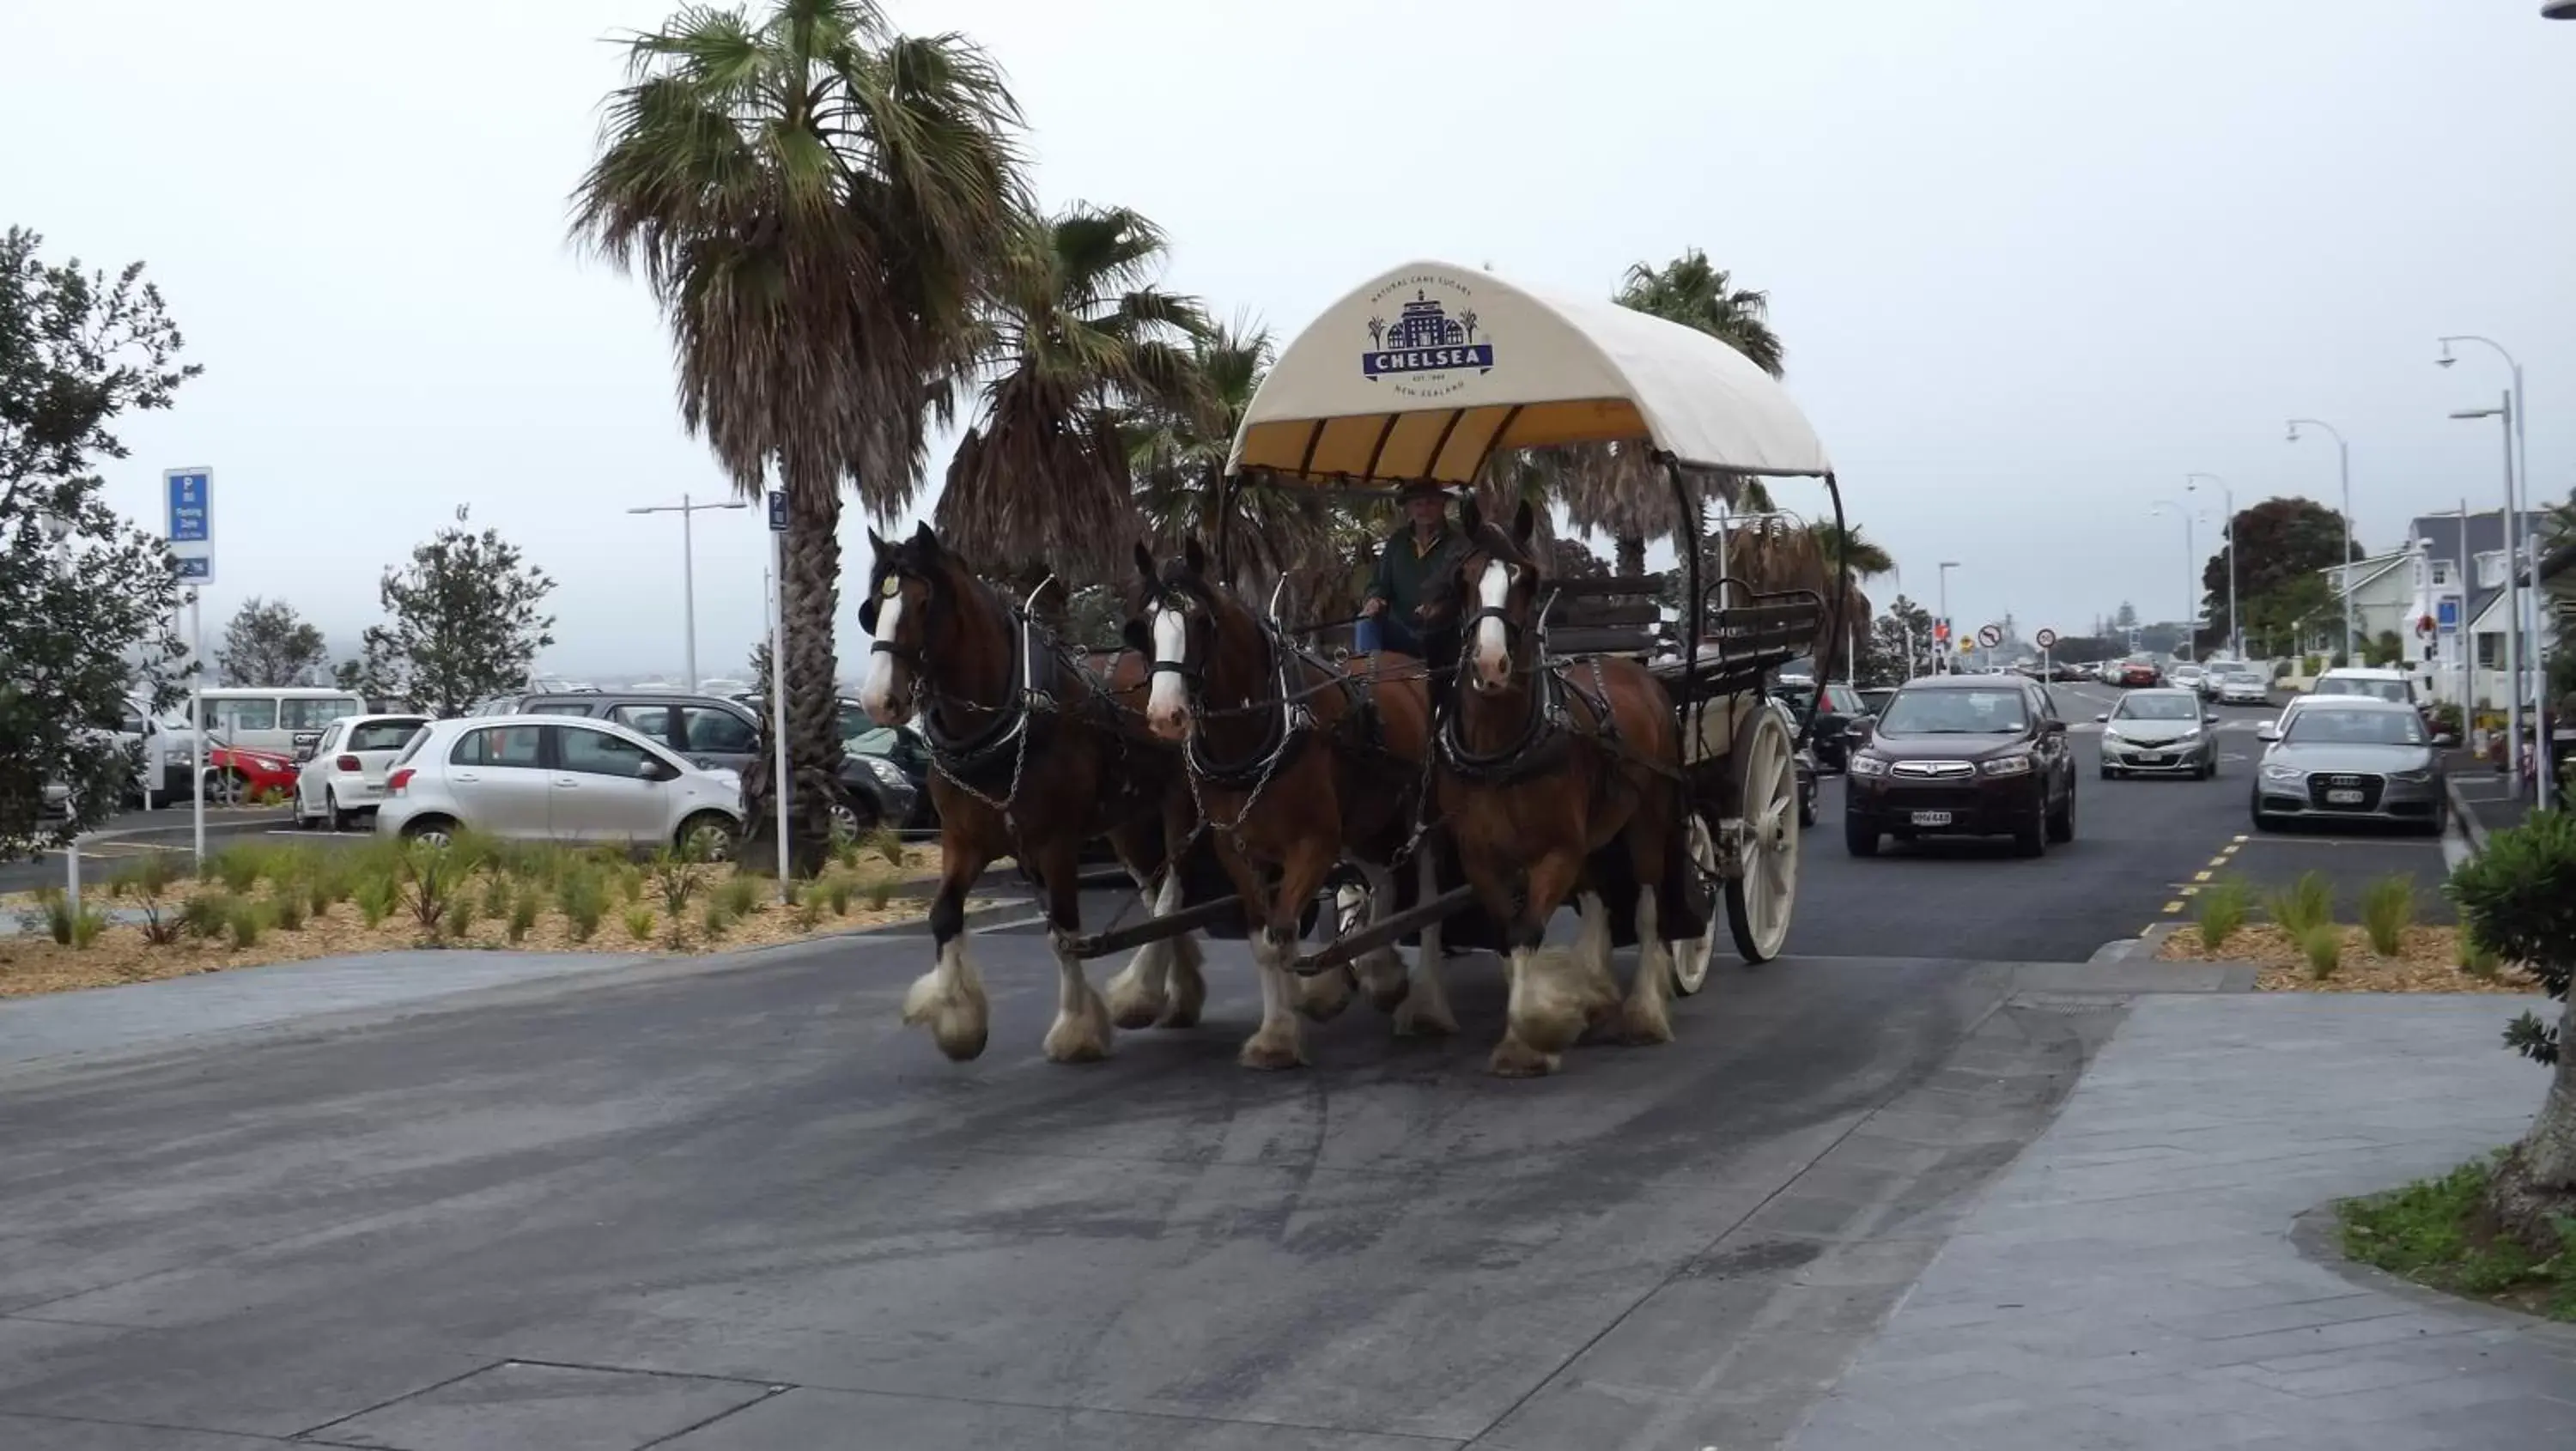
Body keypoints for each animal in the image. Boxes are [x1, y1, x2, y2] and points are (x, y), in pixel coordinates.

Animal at [855, 528, 1216, 1061]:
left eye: (923, 603)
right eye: (873, 608)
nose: (879, 700)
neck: (1005, 721)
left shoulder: (1055, 843)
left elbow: (1064, 930)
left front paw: (1076, 1030)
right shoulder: (964, 841)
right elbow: (944, 915)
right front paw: (959, 1022)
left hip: (1181, 806)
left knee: (1170, 895)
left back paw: (1145, 992)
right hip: (1128, 824)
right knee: (1156, 897)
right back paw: (1177, 993)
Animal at [1128, 536, 1453, 1066]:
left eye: (1201, 623)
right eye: (1143, 628)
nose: (1165, 715)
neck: (1264, 730)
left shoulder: (1314, 845)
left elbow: (1283, 928)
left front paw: (1294, 1017)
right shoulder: (1239, 850)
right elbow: (1264, 940)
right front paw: (1279, 1027)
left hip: (1418, 816)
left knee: (1426, 904)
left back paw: (1424, 1003)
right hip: (1363, 821)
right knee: (1383, 879)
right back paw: (1379, 970)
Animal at [1432, 500, 1710, 1077]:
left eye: (1527, 578)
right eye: (1464, 578)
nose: (1490, 666)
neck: (1503, 751)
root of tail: (1636, 671)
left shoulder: (1556, 850)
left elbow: (1528, 933)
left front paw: (1533, 1035)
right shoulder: (1481, 858)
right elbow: (1508, 936)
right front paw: (1538, 1024)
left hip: (1648, 821)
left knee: (1646, 906)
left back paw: (1643, 1013)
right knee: (1598, 898)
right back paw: (1599, 993)